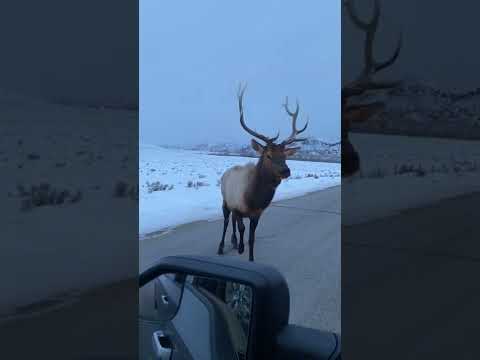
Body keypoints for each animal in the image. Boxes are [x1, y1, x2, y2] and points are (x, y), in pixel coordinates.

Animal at [217, 85, 310, 262]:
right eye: (268, 155)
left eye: (285, 155)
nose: (286, 171)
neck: (253, 199)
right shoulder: (238, 207)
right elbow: (242, 228)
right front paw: (241, 247)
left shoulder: (257, 214)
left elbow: (252, 237)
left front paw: (250, 257)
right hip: (225, 200)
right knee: (226, 221)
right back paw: (222, 246)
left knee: (232, 221)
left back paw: (233, 242)